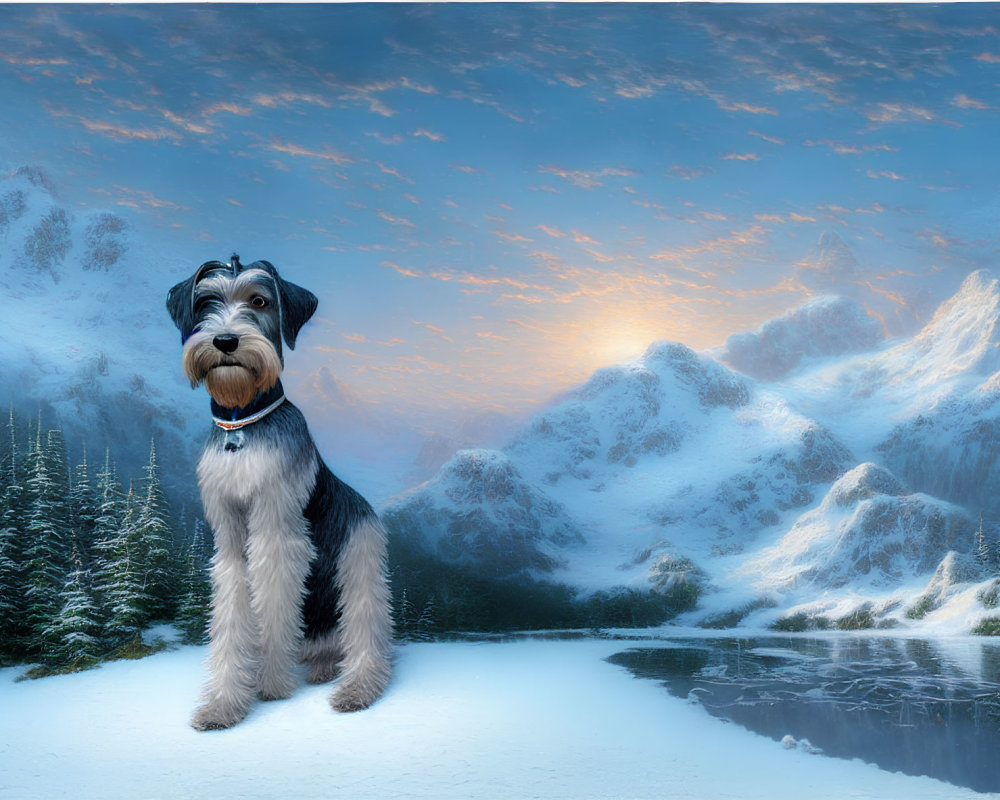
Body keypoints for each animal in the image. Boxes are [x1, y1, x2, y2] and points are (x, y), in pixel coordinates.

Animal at [168, 256, 390, 732]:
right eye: (206, 301)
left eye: (259, 301)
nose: (226, 341)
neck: (242, 427)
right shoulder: (230, 540)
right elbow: (232, 618)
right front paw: (223, 703)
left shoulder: (276, 534)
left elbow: (271, 610)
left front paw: (270, 686)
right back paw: (321, 668)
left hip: (361, 564)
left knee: (367, 637)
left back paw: (355, 689)